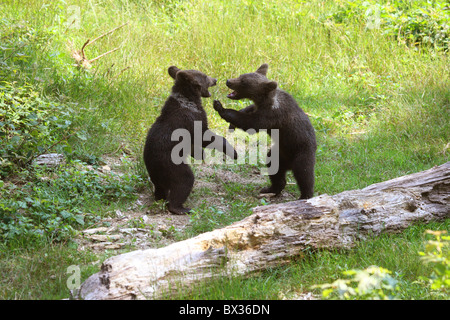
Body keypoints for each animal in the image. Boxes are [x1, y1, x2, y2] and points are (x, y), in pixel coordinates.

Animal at [144, 66, 237, 214]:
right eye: (205, 77)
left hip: (156, 173)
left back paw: (160, 198)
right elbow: (204, 136)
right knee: (184, 180)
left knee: (160, 188)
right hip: (171, 164)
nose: (215, 79)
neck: (190, 99)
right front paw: (233, 152)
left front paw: (200, 154)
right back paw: (181, 207)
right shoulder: (192, 119)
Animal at [214, 63, 316, 199]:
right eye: (241, 75)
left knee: (304, 174)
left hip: (301, 152)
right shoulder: (260, 109)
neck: (265, 101)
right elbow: (248, 110)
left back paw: (305, 195)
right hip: (279, 154)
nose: (228, 81)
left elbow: (250, 124)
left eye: (244, 82)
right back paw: (270, 189)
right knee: (274, 167)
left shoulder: (272, 116)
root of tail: (289, 164)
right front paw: (232, 123)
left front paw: (220, 107)